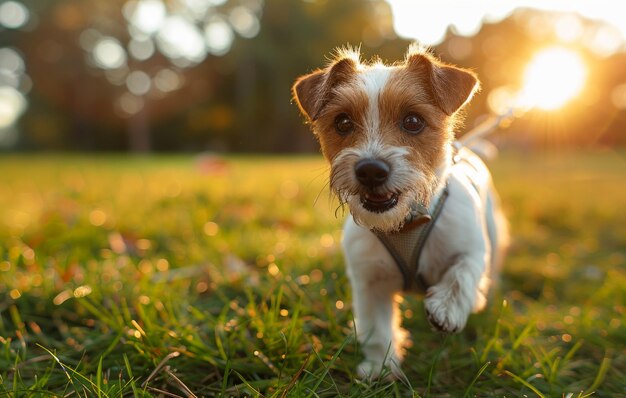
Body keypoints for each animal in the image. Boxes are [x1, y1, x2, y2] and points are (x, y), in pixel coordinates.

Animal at [292, 45, 508, 378]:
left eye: (413, 121)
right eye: (343, 122)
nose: (370, 170)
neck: (406, 224)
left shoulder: (470, 250)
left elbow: (461, 274)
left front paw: (447, 309)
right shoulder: (369, 281)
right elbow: (377, 329)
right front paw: (380, 368)